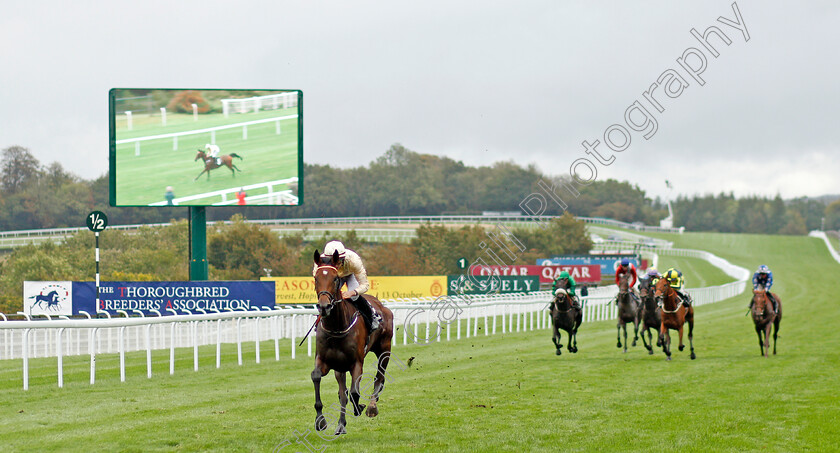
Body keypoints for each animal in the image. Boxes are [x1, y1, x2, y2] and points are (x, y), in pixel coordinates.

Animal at [312, 251, 398, 434]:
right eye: (316, 278)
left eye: (335, 279)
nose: (324, 306)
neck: (337, 327)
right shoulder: (325, 361)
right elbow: (318, 378)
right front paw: (321, 421)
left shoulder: (356, 362)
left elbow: (354, 392)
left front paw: (360, 407)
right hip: (340, 367)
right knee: (343, 393)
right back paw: (341, 424)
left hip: (385, 349)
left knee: (379, 377)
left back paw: (372, 406)